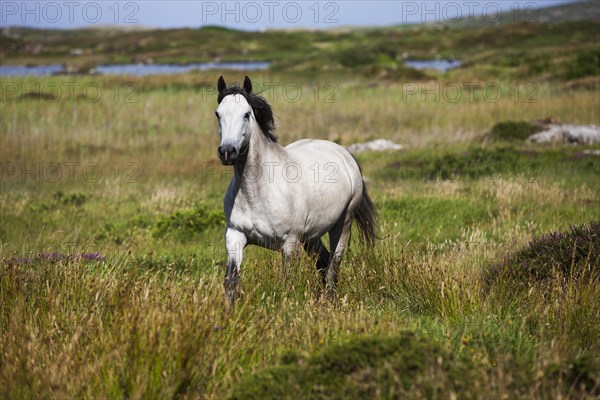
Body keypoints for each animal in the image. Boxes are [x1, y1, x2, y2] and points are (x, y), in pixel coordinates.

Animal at [214, 75, 376, 302]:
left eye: (246, 114)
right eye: (218, 113)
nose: (228, 152)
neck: (256, 192)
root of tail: (345, 154)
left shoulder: (290, 244)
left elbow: (288, 283)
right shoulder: (235, 237)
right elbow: (231, 281)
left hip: (342, 224)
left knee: (333, 265)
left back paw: (328, 299)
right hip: (312, 236)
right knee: (323, 262)